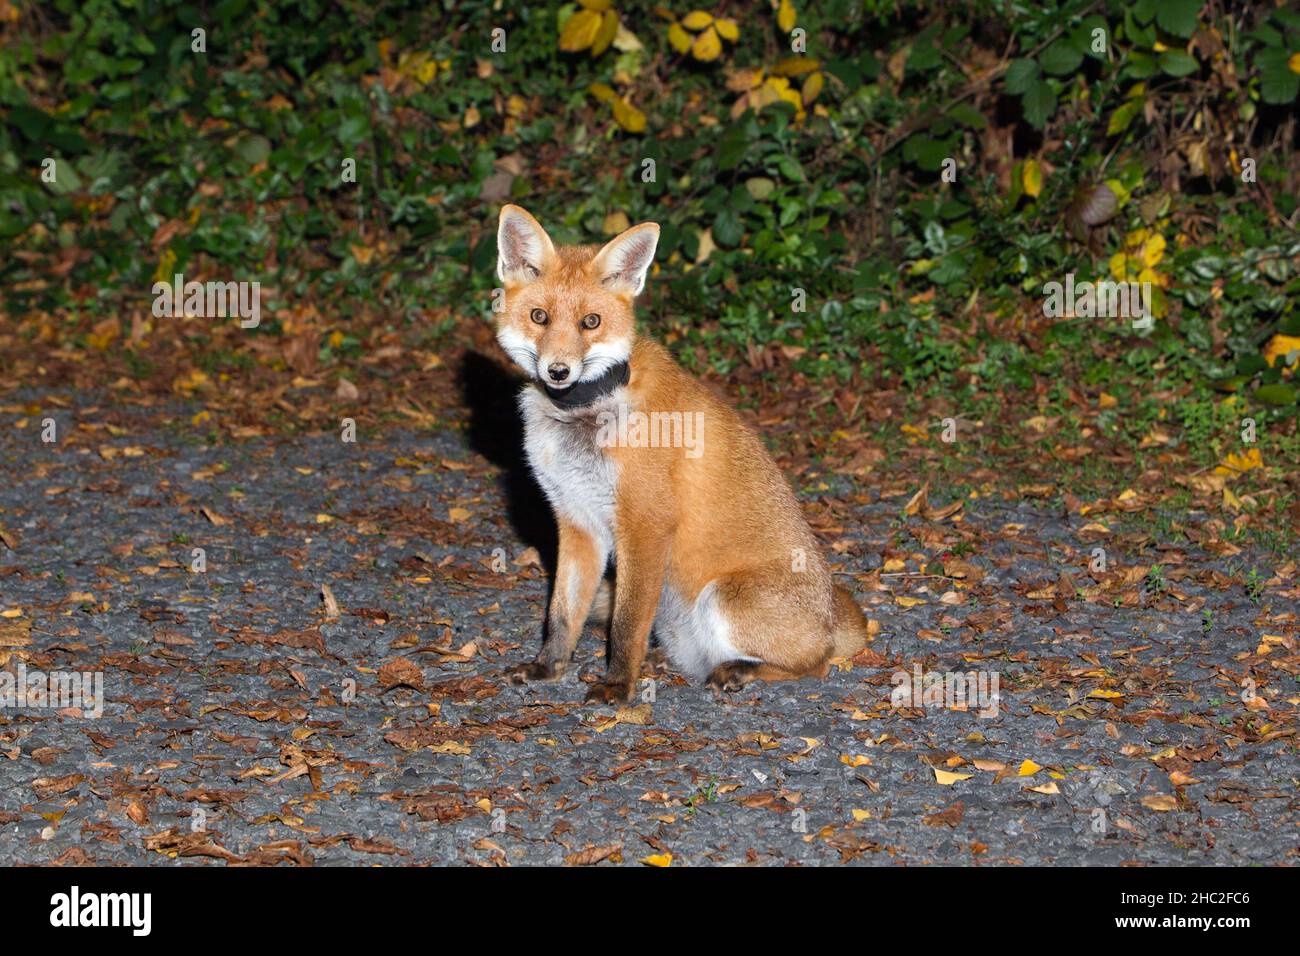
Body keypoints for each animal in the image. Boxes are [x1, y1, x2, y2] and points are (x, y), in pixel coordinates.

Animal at [491, 205, 868, 707]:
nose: (558, 371)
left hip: (725, 599)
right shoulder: (576, 520)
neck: (587, 410)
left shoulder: (644, 524)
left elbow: (626, 624)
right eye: (539, 316)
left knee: (817, 663)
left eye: (590, 322)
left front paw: (617, 686)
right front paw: (548, 669)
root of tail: (832, 614)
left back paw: (740, 671)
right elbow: (563, 614)